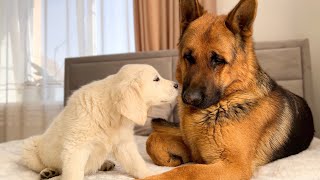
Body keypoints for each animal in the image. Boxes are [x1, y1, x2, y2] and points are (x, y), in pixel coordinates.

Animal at [20, 64, 178, 180]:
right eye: (156, 79)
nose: (177, 84)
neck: (111, 113)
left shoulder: (123, 143)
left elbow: (136, 162)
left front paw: (152, 174)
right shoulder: (76, 148)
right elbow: (73, 171)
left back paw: (105, 163)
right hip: (29, 149)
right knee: (45, 166)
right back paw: (48, 171)